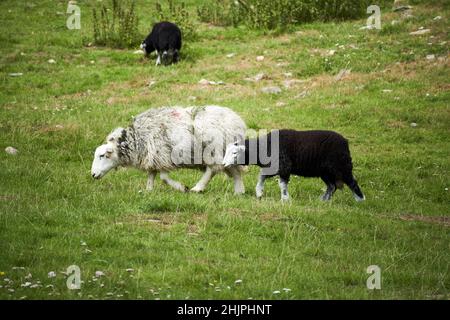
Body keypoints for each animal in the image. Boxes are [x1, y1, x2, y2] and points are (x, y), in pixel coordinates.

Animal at [91, 106, 246, 194]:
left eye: (102, 155)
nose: (93, 175)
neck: (135, 140)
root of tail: (237, 122)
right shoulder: (153, 158)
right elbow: (151, 176)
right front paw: (148, 192)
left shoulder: (163, 156)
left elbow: (164, 178)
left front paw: (182, 188)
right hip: (227, 153)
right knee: (235, 171)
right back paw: (239, 192)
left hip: (213, 150)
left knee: (212, 169)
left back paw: (198, 188)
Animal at [222, 129, 366, 201]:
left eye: (234, 152)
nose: (223, 164)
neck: (263, 148)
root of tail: (345, 142)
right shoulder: (273, 167)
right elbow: (261, 177)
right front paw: (259, 193)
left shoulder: (284, 167)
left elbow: (282, 184)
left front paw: (285, 199)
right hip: (325, 171)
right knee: (332, 186)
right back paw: (323, 201)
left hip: (341, 166)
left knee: (352, 182)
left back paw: (360, 200)